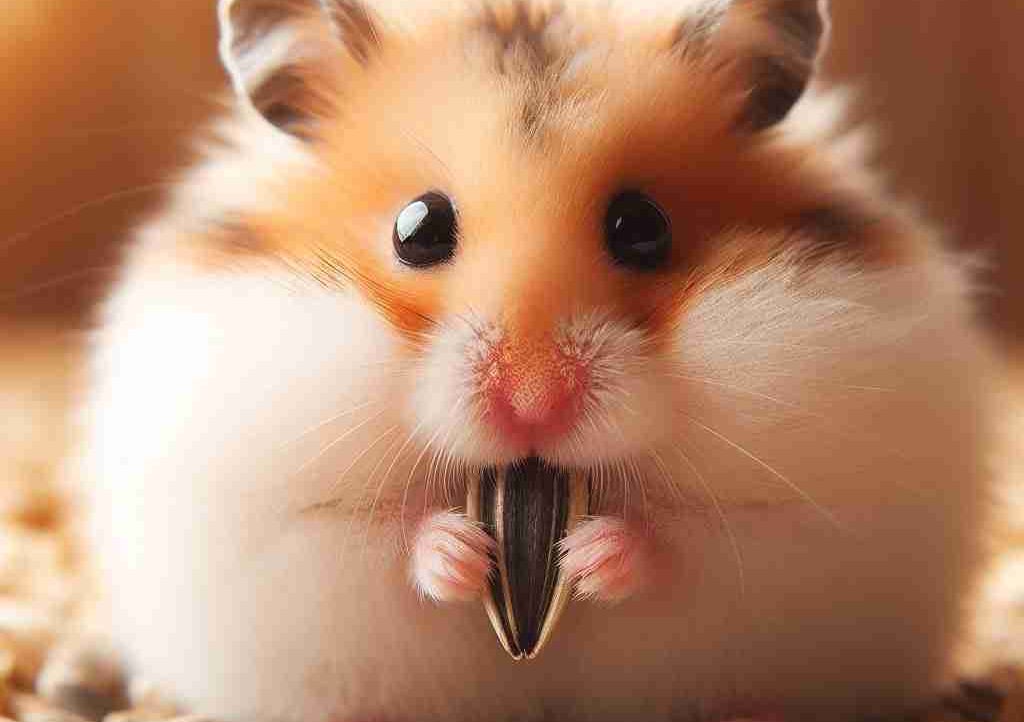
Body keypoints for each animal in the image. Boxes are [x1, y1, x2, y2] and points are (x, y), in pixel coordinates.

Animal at [79, 0, 996, 720]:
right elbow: (374, 541)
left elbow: (694, 541)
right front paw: (459, 552)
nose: (533, 405)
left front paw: (592, 556)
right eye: (418, 227)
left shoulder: (814, 531)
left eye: (642, 226)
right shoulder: (266, 530)